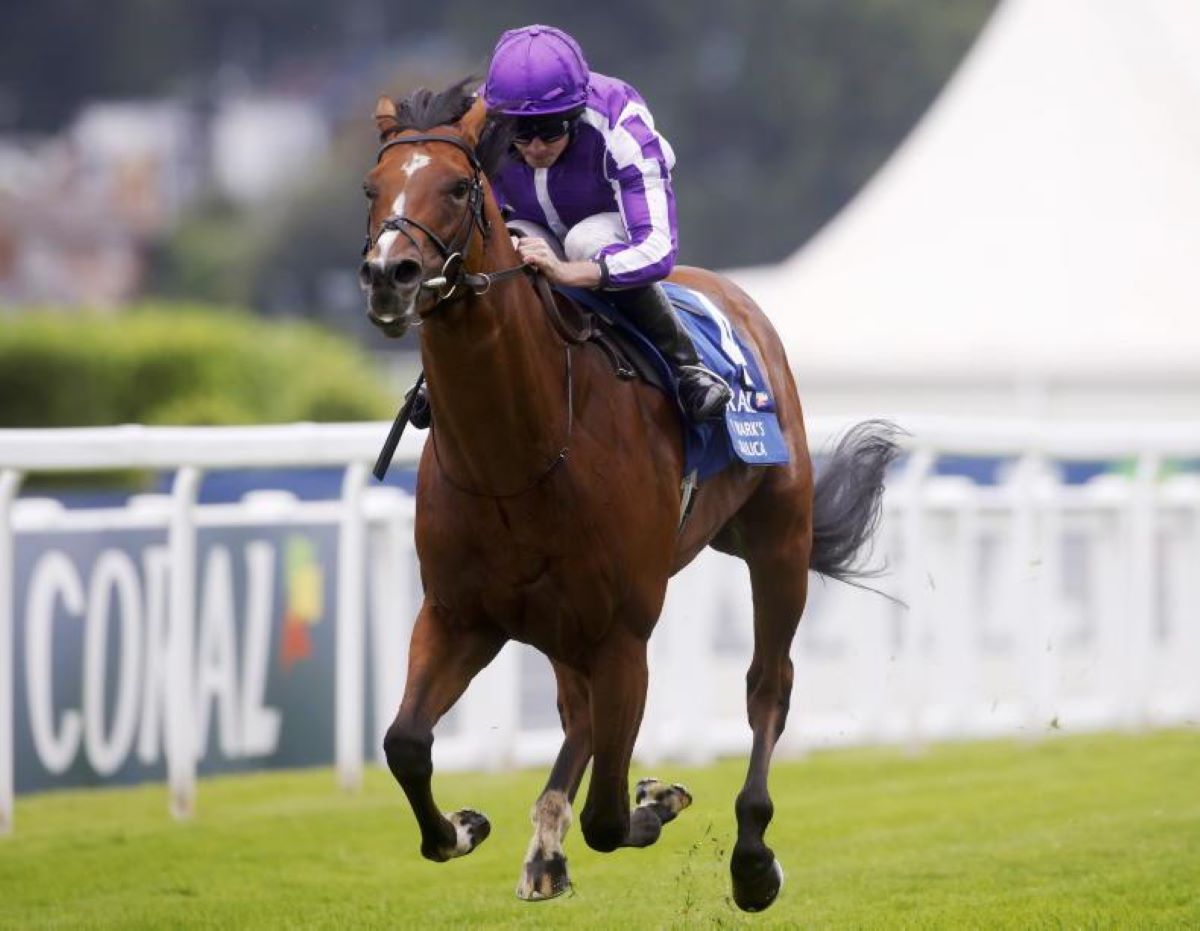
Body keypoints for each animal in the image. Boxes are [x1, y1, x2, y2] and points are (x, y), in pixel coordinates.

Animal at [357, 77, 902, 907]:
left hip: (779, 539)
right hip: (561, 623)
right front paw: (462, 826)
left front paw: (662, 796)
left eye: (456, 186)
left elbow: (611, 816)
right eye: (371, 187)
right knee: (575, 714)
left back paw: (752, 856)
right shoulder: (459, 613)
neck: (516, 456)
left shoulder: (624, 633)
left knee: (767, 687)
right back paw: (544, 849)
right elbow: (406, 743)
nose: (391, 275)